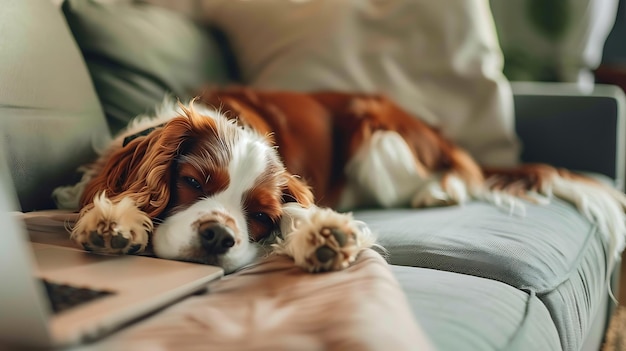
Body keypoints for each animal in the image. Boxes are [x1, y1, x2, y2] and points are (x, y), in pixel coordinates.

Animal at [52, 88, 624, 276]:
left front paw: (319, 235)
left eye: (261, 216)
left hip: (379, 141)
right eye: (192, 180)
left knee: (459, 174)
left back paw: (437, 190)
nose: (218, 236)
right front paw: (115, 220)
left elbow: (303, 209)